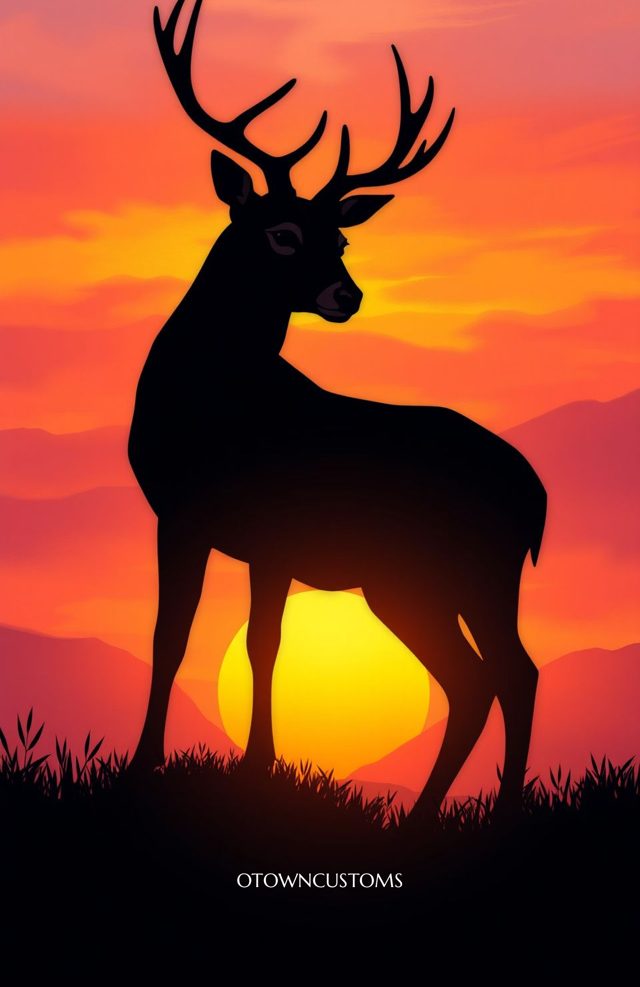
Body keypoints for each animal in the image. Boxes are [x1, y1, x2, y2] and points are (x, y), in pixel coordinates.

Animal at [128, 0, 547, 826]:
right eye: (283, 231)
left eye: (343, 234)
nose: (347, 294)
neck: (205, 404)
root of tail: (537, 494)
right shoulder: (202, 522)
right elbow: (193, 637)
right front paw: (215, 764)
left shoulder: (254, 530)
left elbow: (243, 641)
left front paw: (190, 765)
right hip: (427, 581)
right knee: (486, 675)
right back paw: (438, 815)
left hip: (457, 570)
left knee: (505, 672)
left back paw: (482, 812)